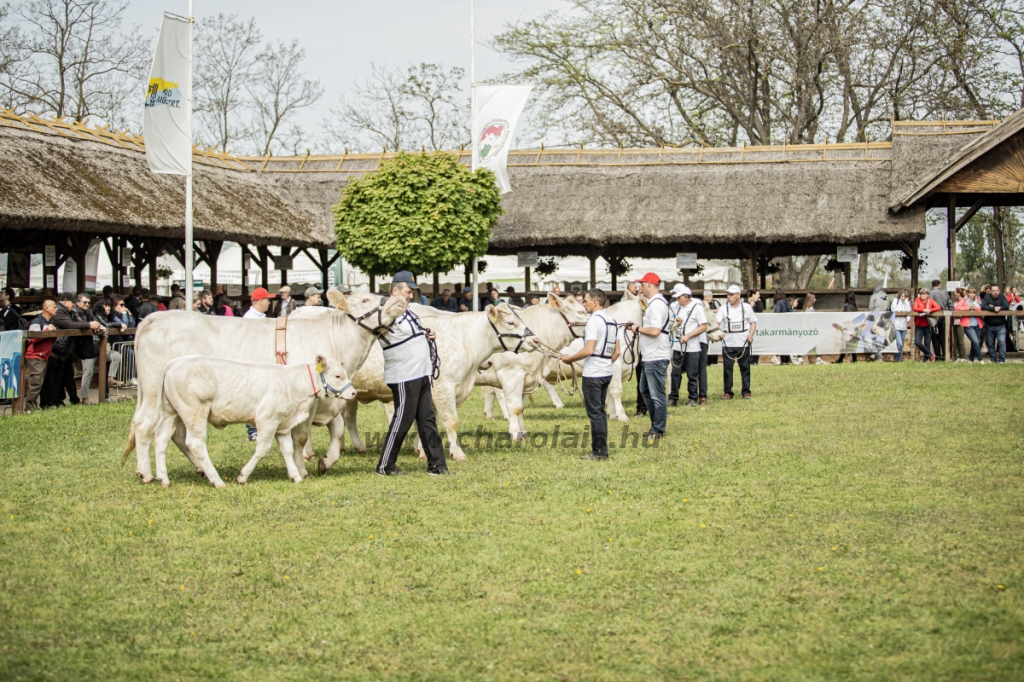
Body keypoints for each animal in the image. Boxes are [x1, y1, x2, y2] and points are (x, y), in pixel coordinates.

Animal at [151, 352, 356, 485]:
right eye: (338, 375)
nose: (354, 392)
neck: (293, 383)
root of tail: (176, 362)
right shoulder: (267, 420)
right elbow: (263, 449)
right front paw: (243, 476)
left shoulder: (282, 424)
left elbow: (288, 450)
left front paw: (296, 476)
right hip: (195, 413)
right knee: (195, 444)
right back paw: (217, 480)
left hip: (171, 413)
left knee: (161, 439)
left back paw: (163, 478)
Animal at [323, 301, 540, 464]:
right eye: (511, 322)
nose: (536, 341)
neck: (465, 342)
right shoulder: (444, 388)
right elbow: (451, 421)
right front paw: (457, 453)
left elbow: (427, 421)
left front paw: (423, 450)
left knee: (346, 418)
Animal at [473, 292, 589, 440]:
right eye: (581, 311)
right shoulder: (511, 376)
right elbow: (514, 407)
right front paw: (515, 434)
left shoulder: (525, 378)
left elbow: (521, 407)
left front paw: (523, 432)